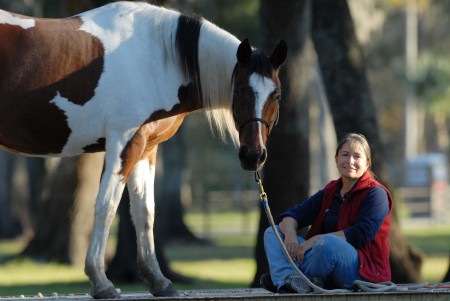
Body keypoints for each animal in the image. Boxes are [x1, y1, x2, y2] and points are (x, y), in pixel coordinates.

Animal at [0, 1, 286, 298]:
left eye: (276, 95)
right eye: (238, 91)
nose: (253, 156)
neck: (154, 59)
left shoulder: (146, 147)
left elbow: (144, 211)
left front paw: (158, 281)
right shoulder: (124, 141)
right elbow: (106, 206)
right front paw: (101, 282)